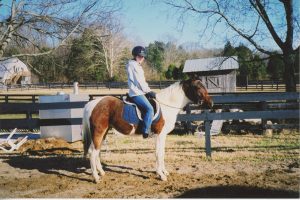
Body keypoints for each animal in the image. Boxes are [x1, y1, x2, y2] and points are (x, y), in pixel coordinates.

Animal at [81, 78, 213, 183]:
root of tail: (92, 104)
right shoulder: (160, 135)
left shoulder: (163, 135)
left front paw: (164, 172)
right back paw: (96, 178)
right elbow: (158, 154)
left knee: (97, 151)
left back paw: (102, 173)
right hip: (98, 132)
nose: (211, 103)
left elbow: (162, 153)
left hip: (104, 132)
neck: (167, 105)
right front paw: (161, 175)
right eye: (198, 87)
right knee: (92, 152)